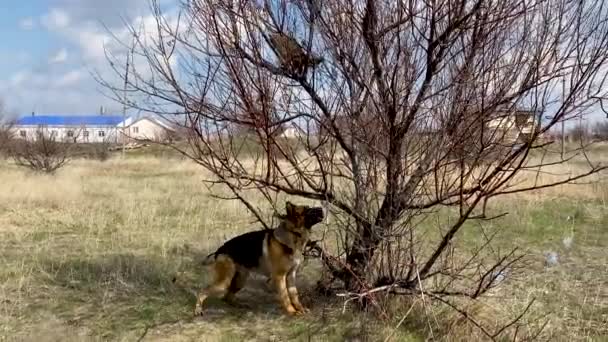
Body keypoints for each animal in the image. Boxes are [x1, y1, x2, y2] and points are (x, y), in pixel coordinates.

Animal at [196, 202, 328, 316]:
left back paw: (240, 305)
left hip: (240, 280)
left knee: (227, 297)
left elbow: (294, 296)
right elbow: (285, 297)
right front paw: (292, 312)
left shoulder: (291, 276)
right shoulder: (280, 277)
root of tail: (219, 250)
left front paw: (300, 309)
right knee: (203, 291)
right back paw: (198, 310)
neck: (293, 234)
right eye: (306, 210)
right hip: (224, 282)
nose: (322, 208)